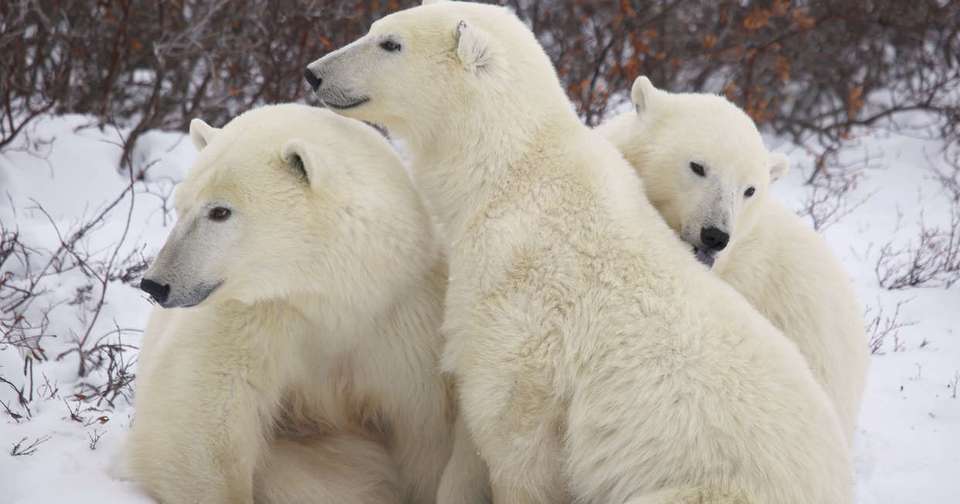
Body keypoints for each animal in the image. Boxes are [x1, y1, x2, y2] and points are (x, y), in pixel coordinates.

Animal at [125, 103, 481, 504]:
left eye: (220, 211)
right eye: (181, 205)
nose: (155, 284)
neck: (336, 293)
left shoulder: (408, 330)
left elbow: (427, 436)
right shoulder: (252, 317)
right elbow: (203, 420)